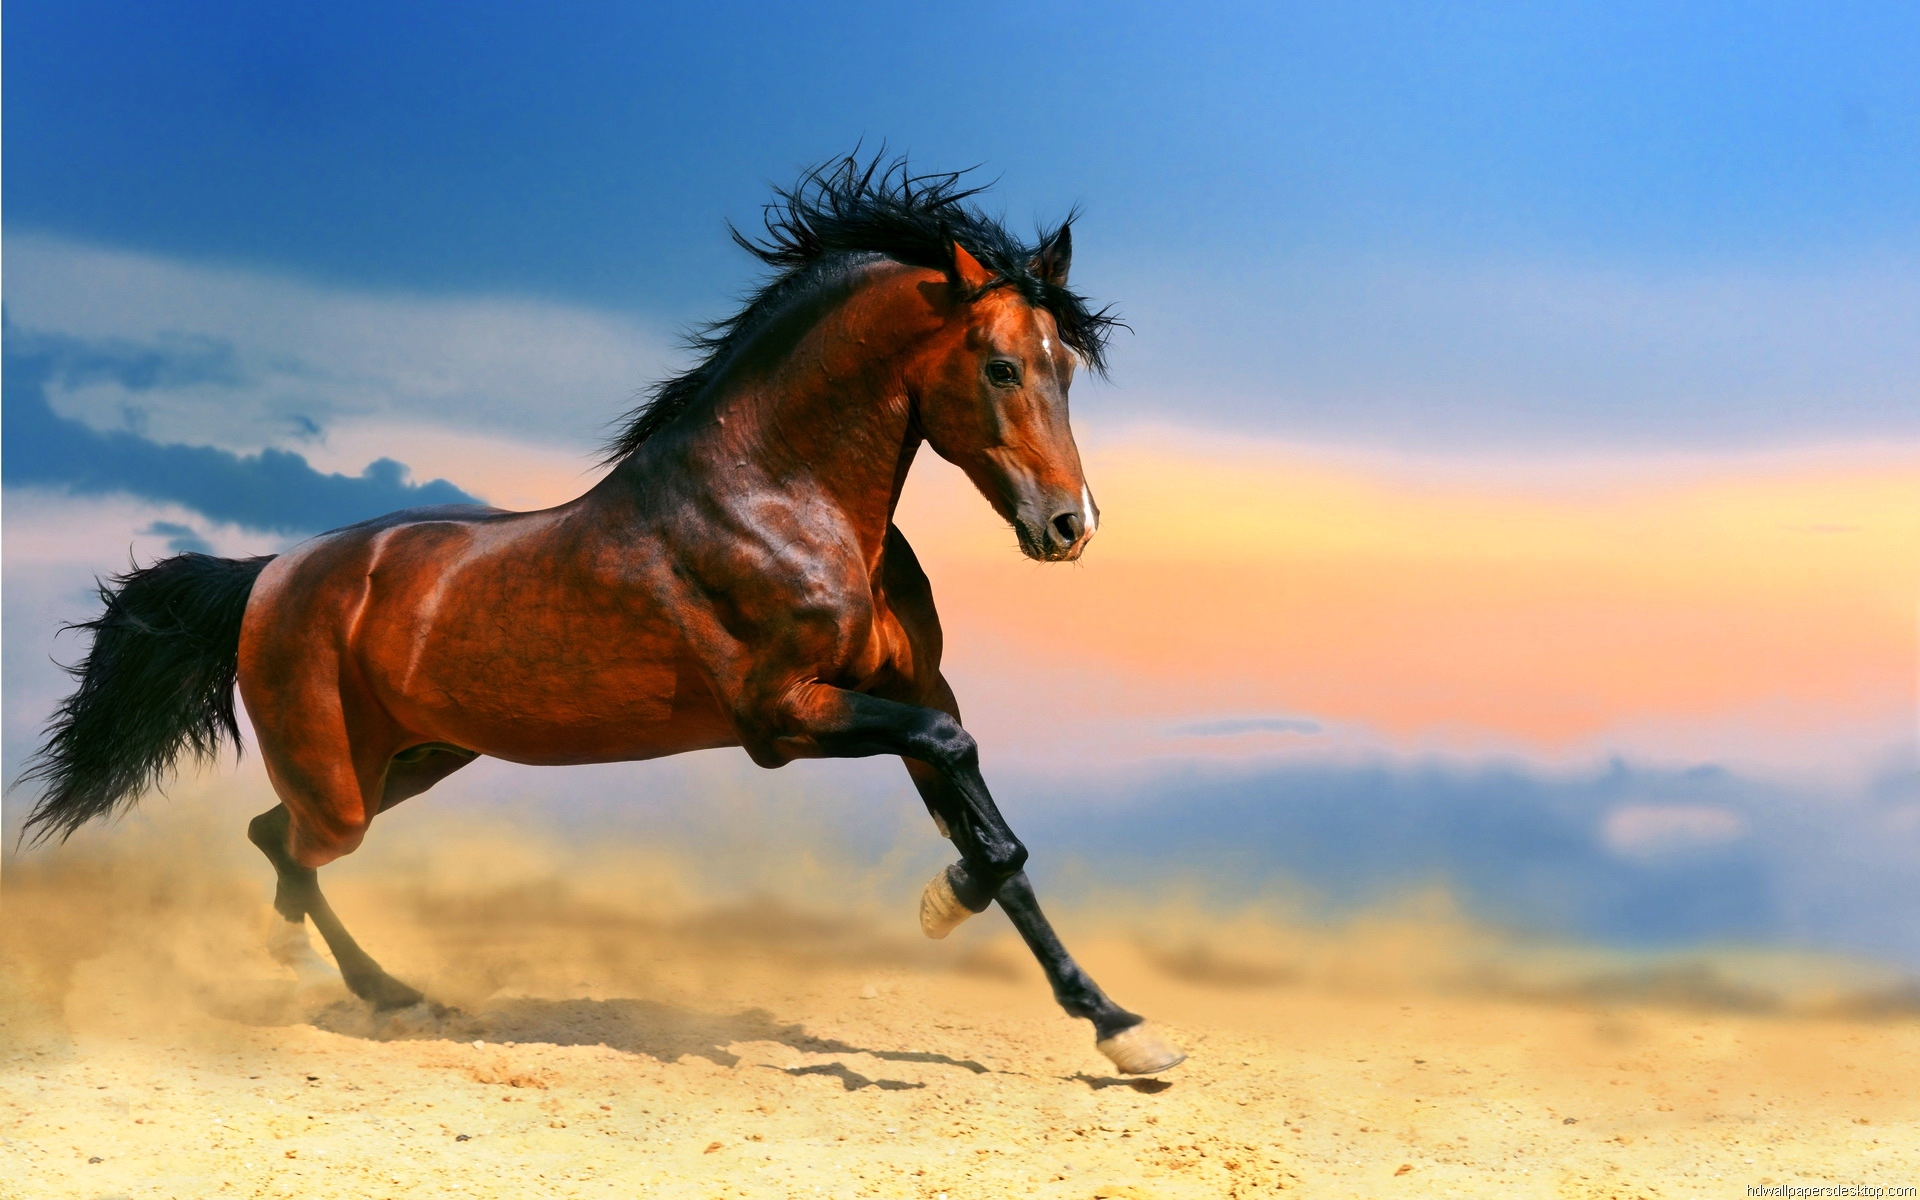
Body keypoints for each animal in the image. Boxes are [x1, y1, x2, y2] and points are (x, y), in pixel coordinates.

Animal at [19, 155, 1185, 1076]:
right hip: (342, 777)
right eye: (1001, 365)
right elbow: (966, 786)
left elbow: (1000, 837)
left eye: (1066, 366)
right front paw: (945, 903)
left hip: (418, 757)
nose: (1069, 525)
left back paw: (329, 986)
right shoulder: (785, 718)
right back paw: (373, 993)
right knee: (294, 848)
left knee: (279, 843)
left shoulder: (903, 691)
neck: (780, 497)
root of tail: (271, 572)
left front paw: (1122, 1029)